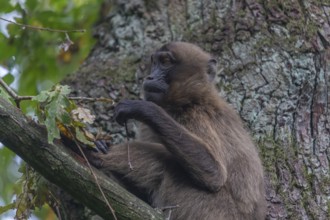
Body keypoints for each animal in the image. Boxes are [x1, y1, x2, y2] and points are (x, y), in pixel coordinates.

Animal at [91, 42, 266, 219]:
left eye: (166, 62)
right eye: (155, 63)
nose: (150, 77)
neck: (191, 99)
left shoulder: (195, 115)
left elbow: (215, 175)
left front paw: (143, 108)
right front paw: (100, 144)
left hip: (212, 209)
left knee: (166, 161)